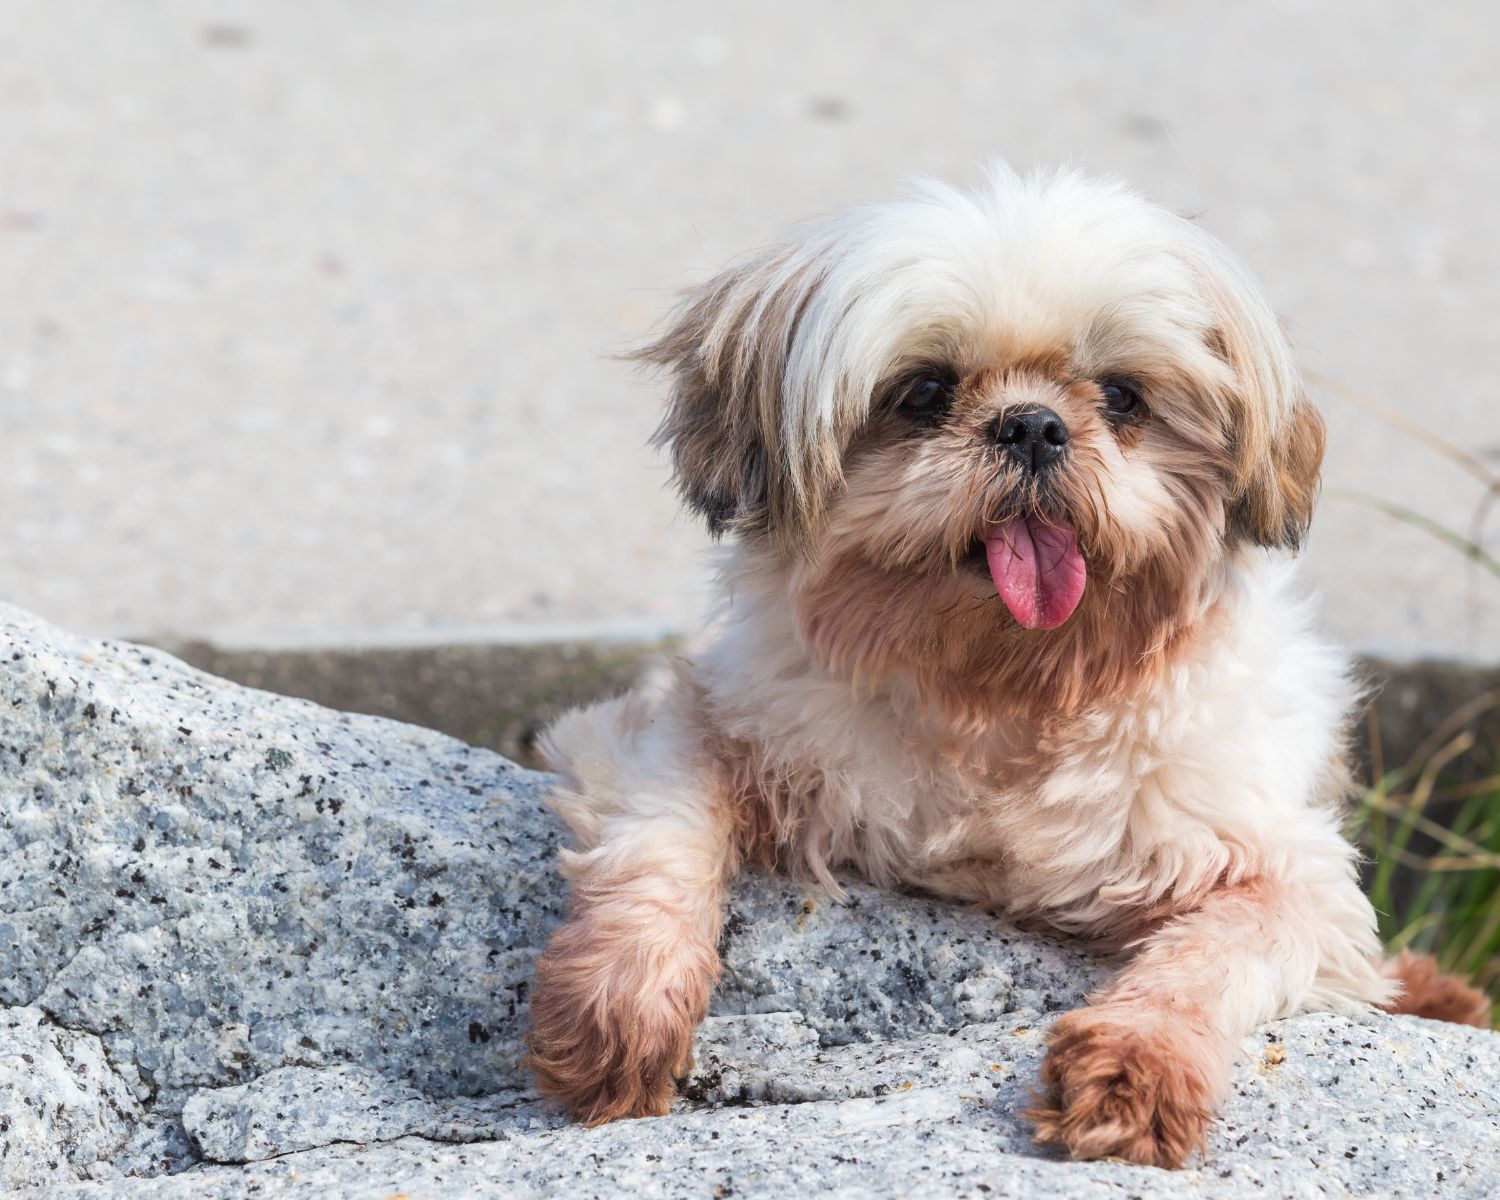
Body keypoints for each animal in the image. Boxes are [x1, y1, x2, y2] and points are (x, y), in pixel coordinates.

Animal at [522, 164, 1482, 1170]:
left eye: (1122, 397)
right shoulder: (687, 725)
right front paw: (621, 1007)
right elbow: (660, 844)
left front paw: (1135, 1069)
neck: (1007, 690)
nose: (1030, 425)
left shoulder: (1286, 875)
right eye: (924, 391)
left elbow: (1212, 958)